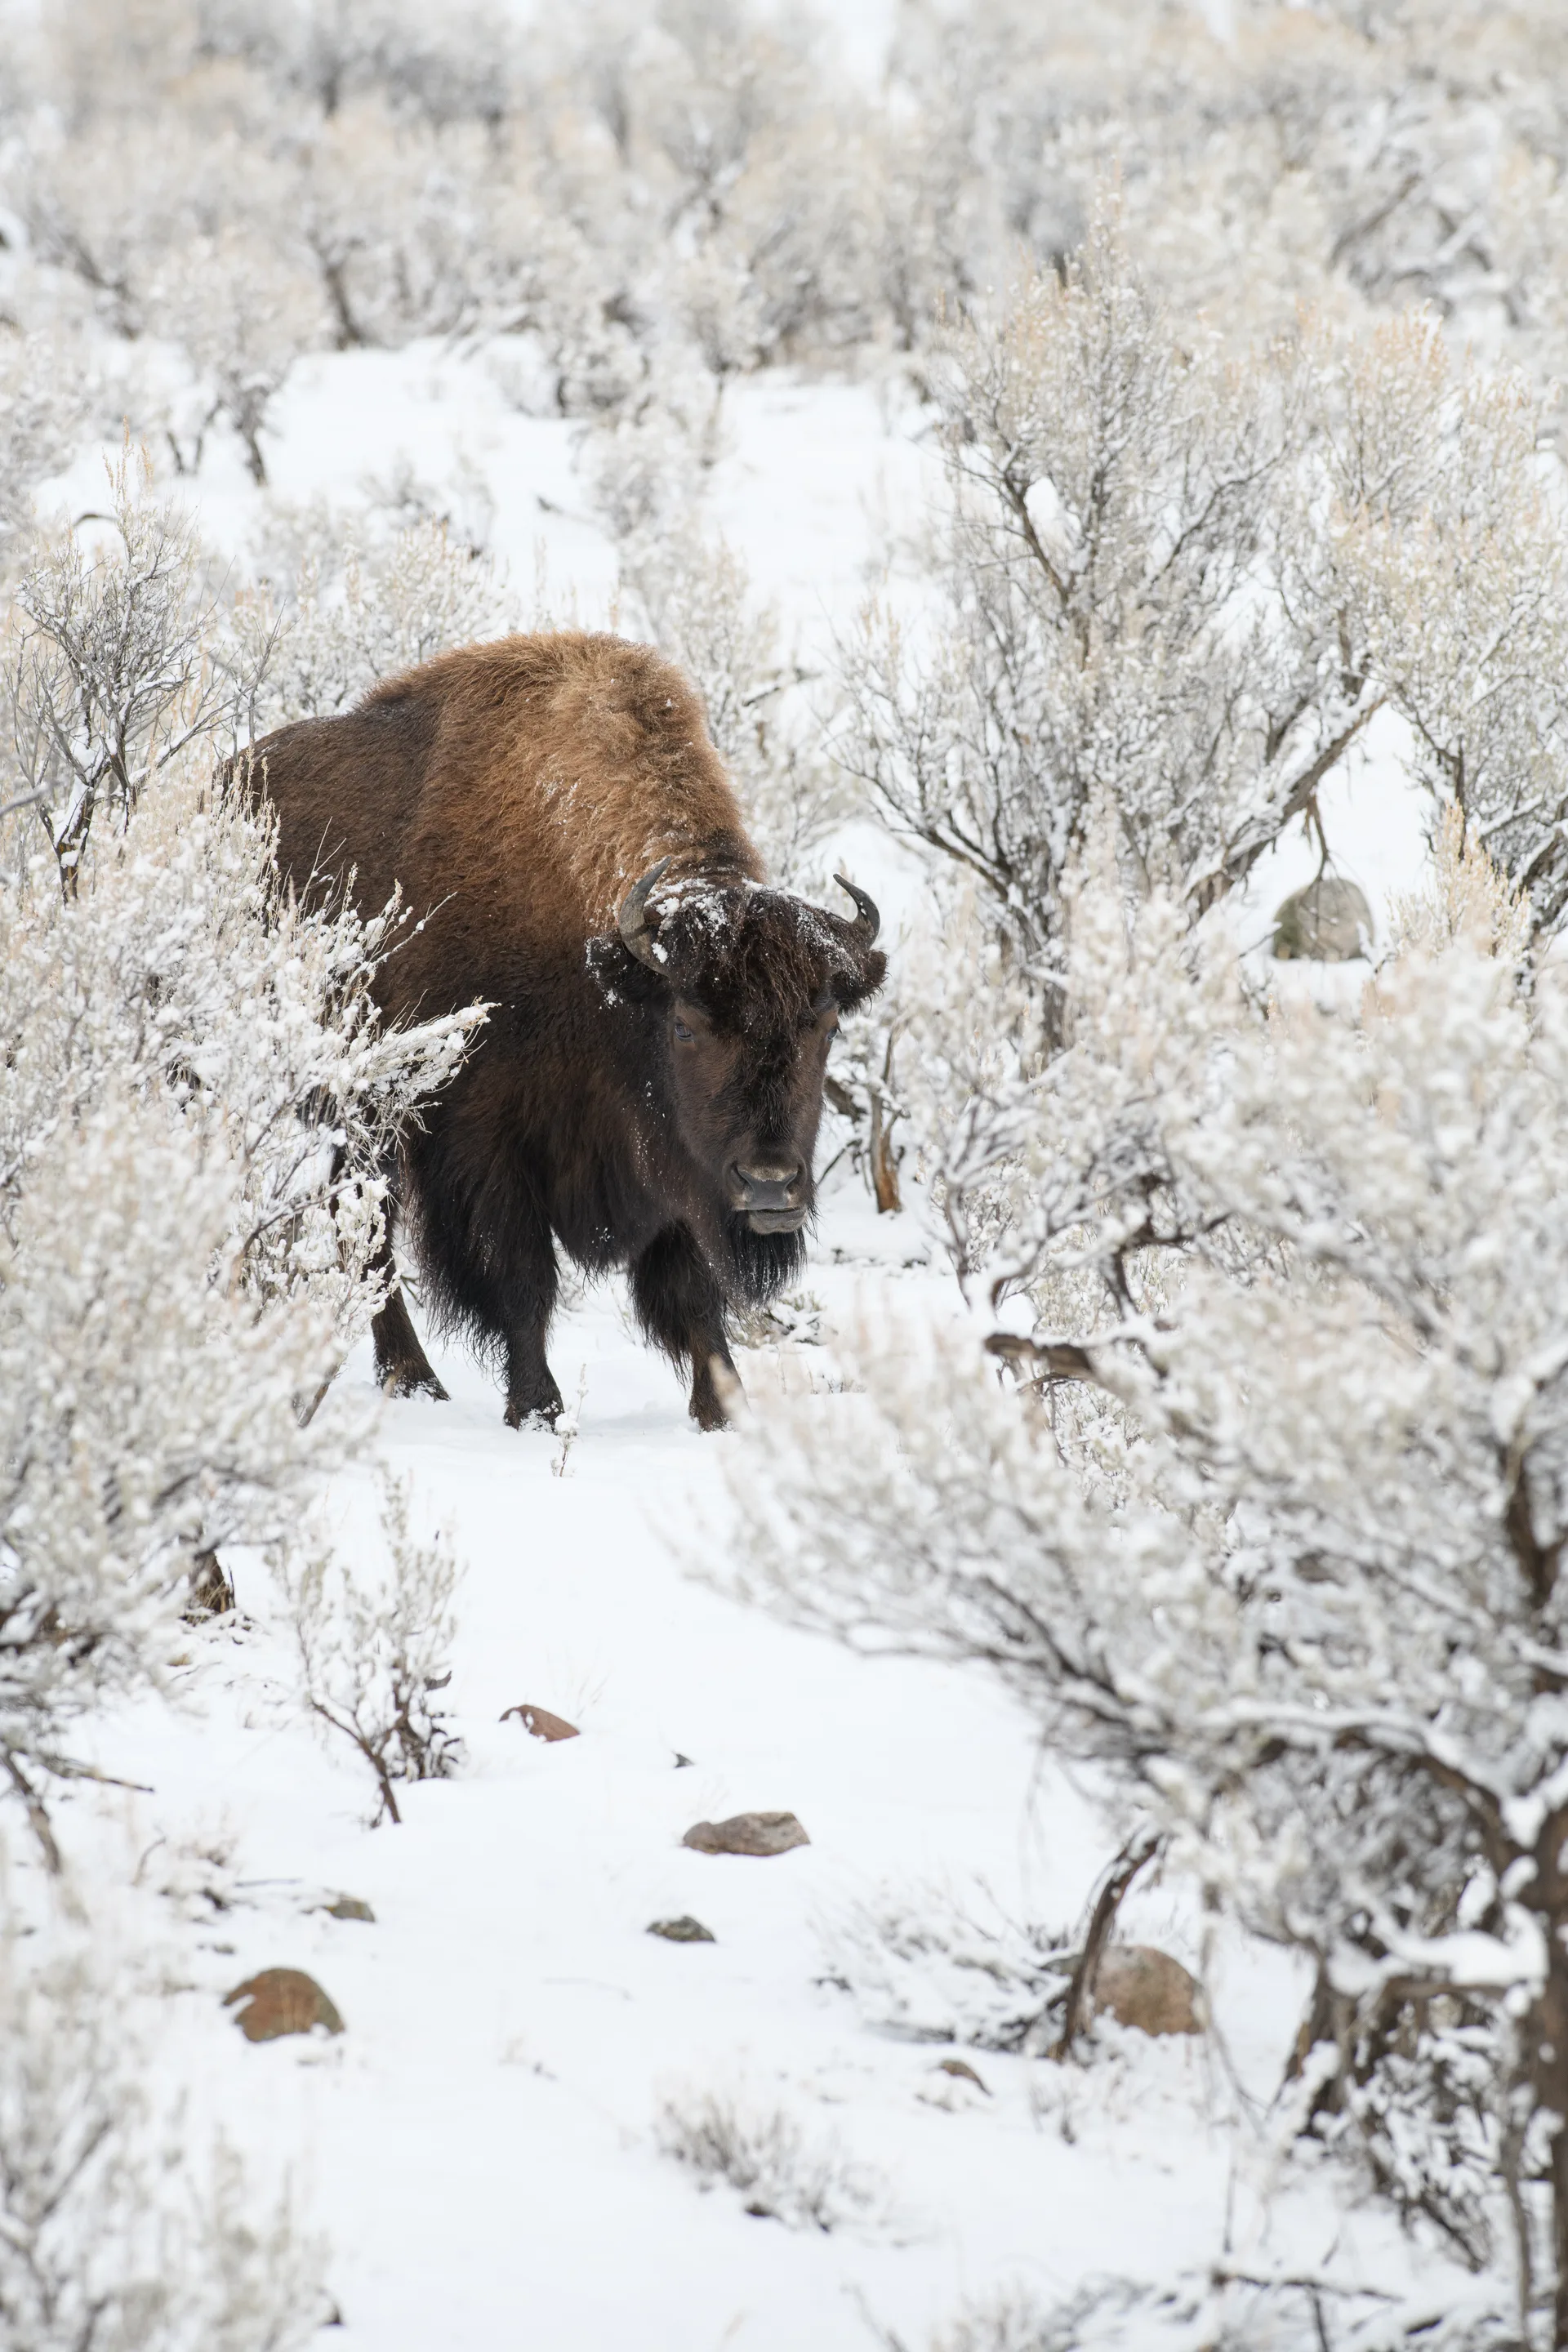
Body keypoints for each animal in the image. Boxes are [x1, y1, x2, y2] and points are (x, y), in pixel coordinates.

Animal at [251, 631, 887, 1429]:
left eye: (826, 1024)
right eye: (686, 1025)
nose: (769, 1185)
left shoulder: (668, 1161)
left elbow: (692, 1292)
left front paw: (724, 1409)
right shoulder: (482, 1143)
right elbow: (523, 1278)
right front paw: (537, 1409)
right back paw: (414, 1377)